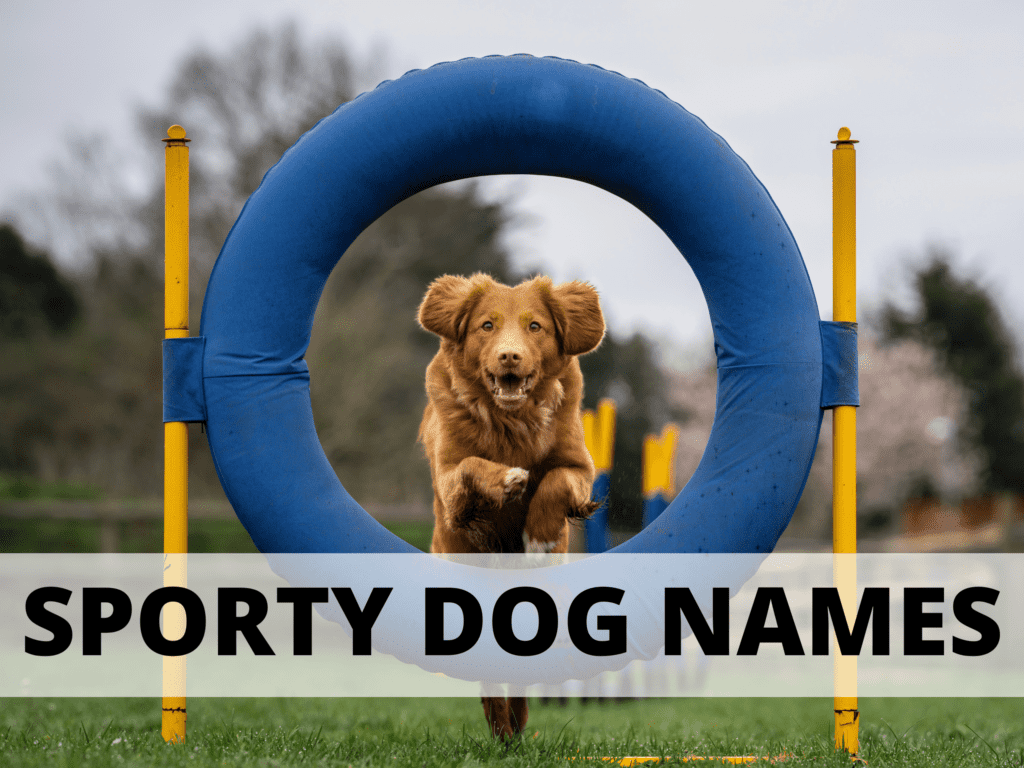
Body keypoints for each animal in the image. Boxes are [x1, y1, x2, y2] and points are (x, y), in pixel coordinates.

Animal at [417, 274, 606, 741]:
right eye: (487, 325)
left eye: (535, 326)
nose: (509, 355)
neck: (511, 421)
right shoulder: (450, 481)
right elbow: (471, 465)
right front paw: (507, 480)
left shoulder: (579, 465)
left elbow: (554, 481)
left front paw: (538, 536)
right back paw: (501, 726)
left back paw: (516, 725)